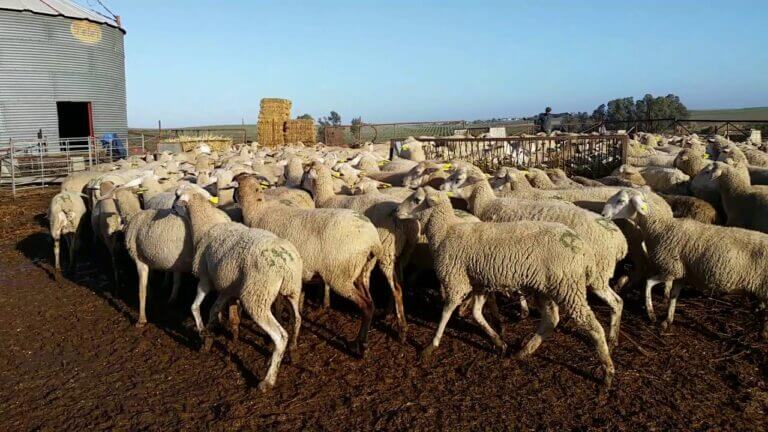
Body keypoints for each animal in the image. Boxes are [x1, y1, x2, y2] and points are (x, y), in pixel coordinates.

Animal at [174, 189, 304, 392]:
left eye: (177, 196)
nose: (172, 209)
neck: (205, 226)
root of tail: (286, 263)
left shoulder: (205, 279)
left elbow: (194, 306)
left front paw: (202, 332)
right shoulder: (227, 288)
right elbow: (214, 311)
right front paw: (209, 338)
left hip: (256, 296)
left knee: (280, 336)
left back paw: (268, 380)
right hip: (292, 290)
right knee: (297, 319)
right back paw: (294, 352)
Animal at [237, 174, 384, 356]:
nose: (233, 196)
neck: (256, 211)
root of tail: (373, 240)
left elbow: (277, 307)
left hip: (341, 275)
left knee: (364, 305)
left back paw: (360, 346)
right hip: (361, 273)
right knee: (370, 304)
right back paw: (361, 343)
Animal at [392, 187, 616, 386]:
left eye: (417, 199)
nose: (395, 211)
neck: (445, 231)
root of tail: (583, 249)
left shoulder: (456, 280)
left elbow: (446, 313)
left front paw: (431, 346)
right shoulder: (481, 283)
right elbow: (476, 313)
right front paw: (499, 342)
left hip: (567, 286)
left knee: (592, 325)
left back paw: (607, 370)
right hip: (547, 288)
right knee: (551, 319)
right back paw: (523, 352)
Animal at [608, 190, 768, 340]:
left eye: (621, 200)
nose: (604, 213)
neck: (661, 228)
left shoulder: (671, 269)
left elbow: (648, 283)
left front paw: (651, 314)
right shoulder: (681, 274)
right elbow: (673, 296)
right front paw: (667, 320)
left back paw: (763, 333)